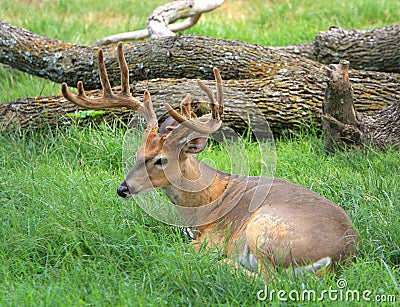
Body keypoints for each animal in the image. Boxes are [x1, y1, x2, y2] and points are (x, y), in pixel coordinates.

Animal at [61, 42, 360, 274]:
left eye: (161, 160)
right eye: (137, 154)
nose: (123, 188)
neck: (203, 205)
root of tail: (342, 255)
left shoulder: (211, 238)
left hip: (264, 226)